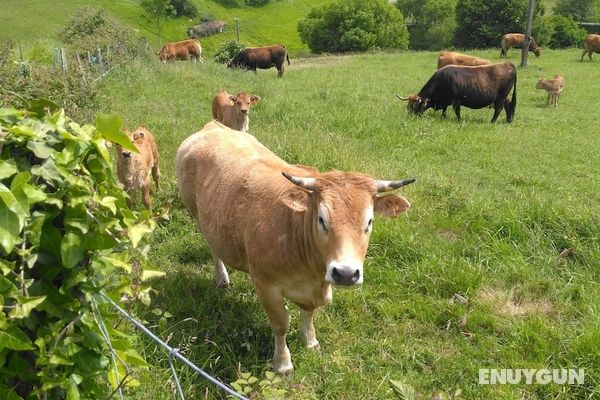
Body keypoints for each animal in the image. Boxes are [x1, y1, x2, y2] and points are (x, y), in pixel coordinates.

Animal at [176, 121, 414, 376]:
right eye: (321, 219)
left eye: (369, 222)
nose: (346, 273)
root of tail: (214, 126)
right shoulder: (265, 284)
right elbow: (281, 324)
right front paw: (283, 363)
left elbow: (308, 312)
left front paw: (310, 340)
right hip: (196, 213)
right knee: (213, 248)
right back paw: (221, 277)